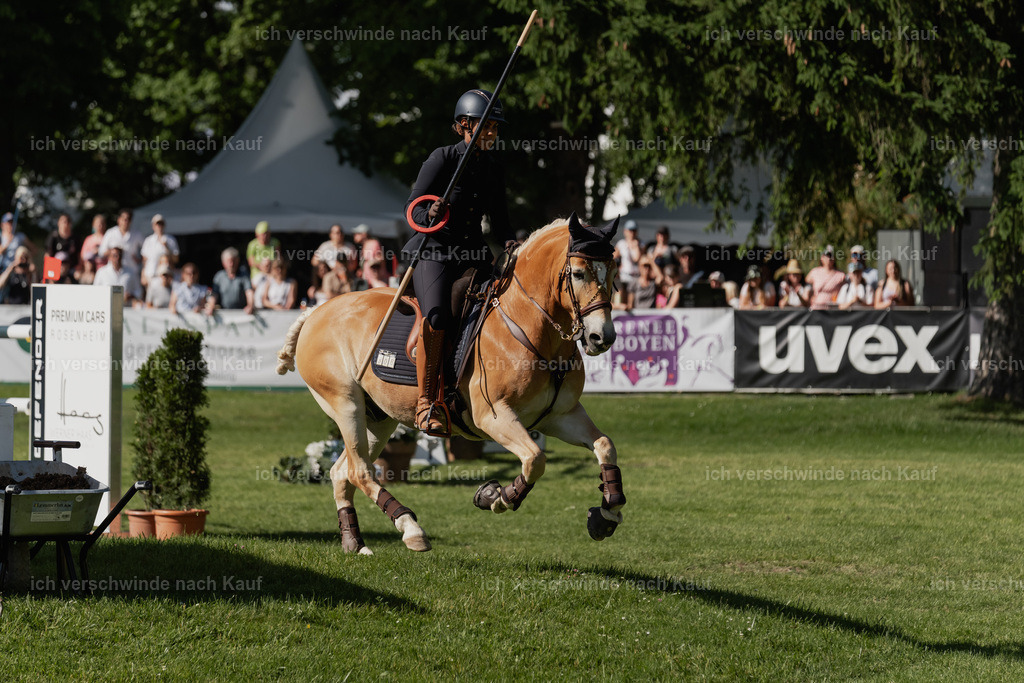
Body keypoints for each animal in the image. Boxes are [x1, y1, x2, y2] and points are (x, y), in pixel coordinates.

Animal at [275, 213, 627, 554]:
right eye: (578, 273)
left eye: (612, 272)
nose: (602, 338)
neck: (532, 329)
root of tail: (315, 311)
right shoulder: (494, 417)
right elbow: (535, 459)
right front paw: (497, 496)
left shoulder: (560, 416)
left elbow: (604, 445)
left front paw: (607, 513)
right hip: (345, 404)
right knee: (359, 471)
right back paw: (410, 528)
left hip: (378, 418)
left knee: (342, 472)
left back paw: (355, 542)